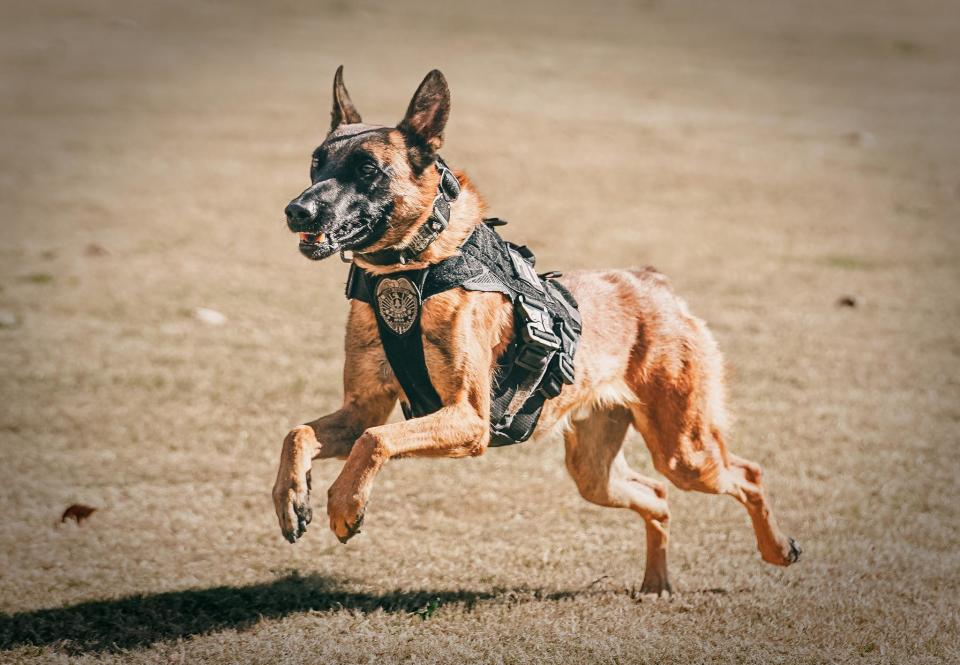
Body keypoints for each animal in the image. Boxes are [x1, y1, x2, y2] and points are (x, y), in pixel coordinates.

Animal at [272, 68, 804, 596]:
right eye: (316, 163)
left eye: (366, 169)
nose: (296, 211)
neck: (410, 270)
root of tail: (652, 282)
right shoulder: (360, 410)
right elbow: (299, 433)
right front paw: (290, 497)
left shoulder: (468, 419)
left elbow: (375, 441)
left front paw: (344, 504)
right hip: (595, 471)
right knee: (656, 495)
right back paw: (656, 583)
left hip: (685, 451)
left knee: (748, 474)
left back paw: (777, 549)